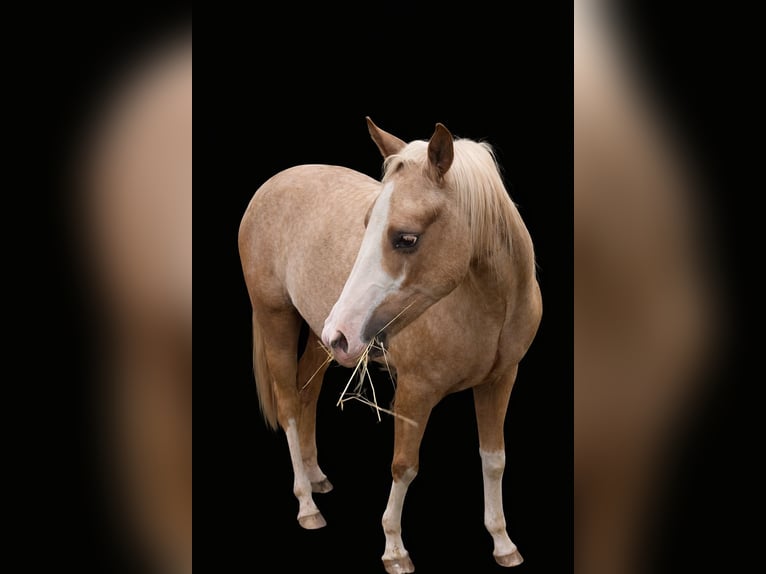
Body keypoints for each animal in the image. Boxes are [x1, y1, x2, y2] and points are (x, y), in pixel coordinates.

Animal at [238, 118, 542, 573]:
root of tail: (271, 185)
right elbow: (404, 466)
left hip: (320, 339)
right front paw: (395, 549)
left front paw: (503, 543)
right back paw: (307, 505)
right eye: (368, 224)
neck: (487, 305)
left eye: (406, 238)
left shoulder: (500, 381)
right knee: (289, 404)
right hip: (278, 319)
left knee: (307, 394)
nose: (342, 331)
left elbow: (494, 461)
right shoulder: (415, 391)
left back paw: (316, 476)